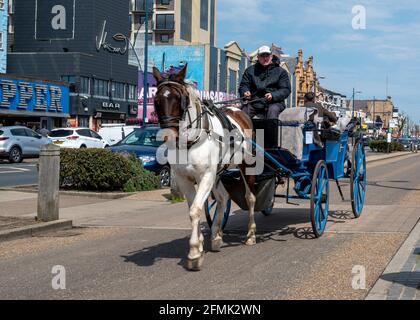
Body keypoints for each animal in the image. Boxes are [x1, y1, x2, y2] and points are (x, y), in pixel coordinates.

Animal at [151, 66, 256, 272]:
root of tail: (238, 111)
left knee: (250, 198)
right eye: (157, 100)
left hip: (244, 166)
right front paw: (199, 243)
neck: (192, 140)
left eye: (179, 99)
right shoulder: (184, 179)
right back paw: (216, 236)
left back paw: (251, 234)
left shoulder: (205, 175)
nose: (167, 136)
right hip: (218, 173)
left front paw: (194, 253)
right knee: (223, 198)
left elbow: (195, 210)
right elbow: (194, 209)